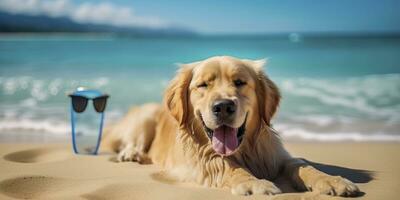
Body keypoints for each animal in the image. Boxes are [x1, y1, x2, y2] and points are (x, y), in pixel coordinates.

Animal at [101, 55, 360, 196]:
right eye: (203, 85)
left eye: (239, 82)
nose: (223, 106)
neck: (245, 149)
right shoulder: (205, 162)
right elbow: (231, 168)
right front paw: (256, 184)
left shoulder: (277, 155)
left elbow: (302, 165)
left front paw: (333, 180)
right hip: (145, 117)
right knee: (131, 142)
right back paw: (132, 154)